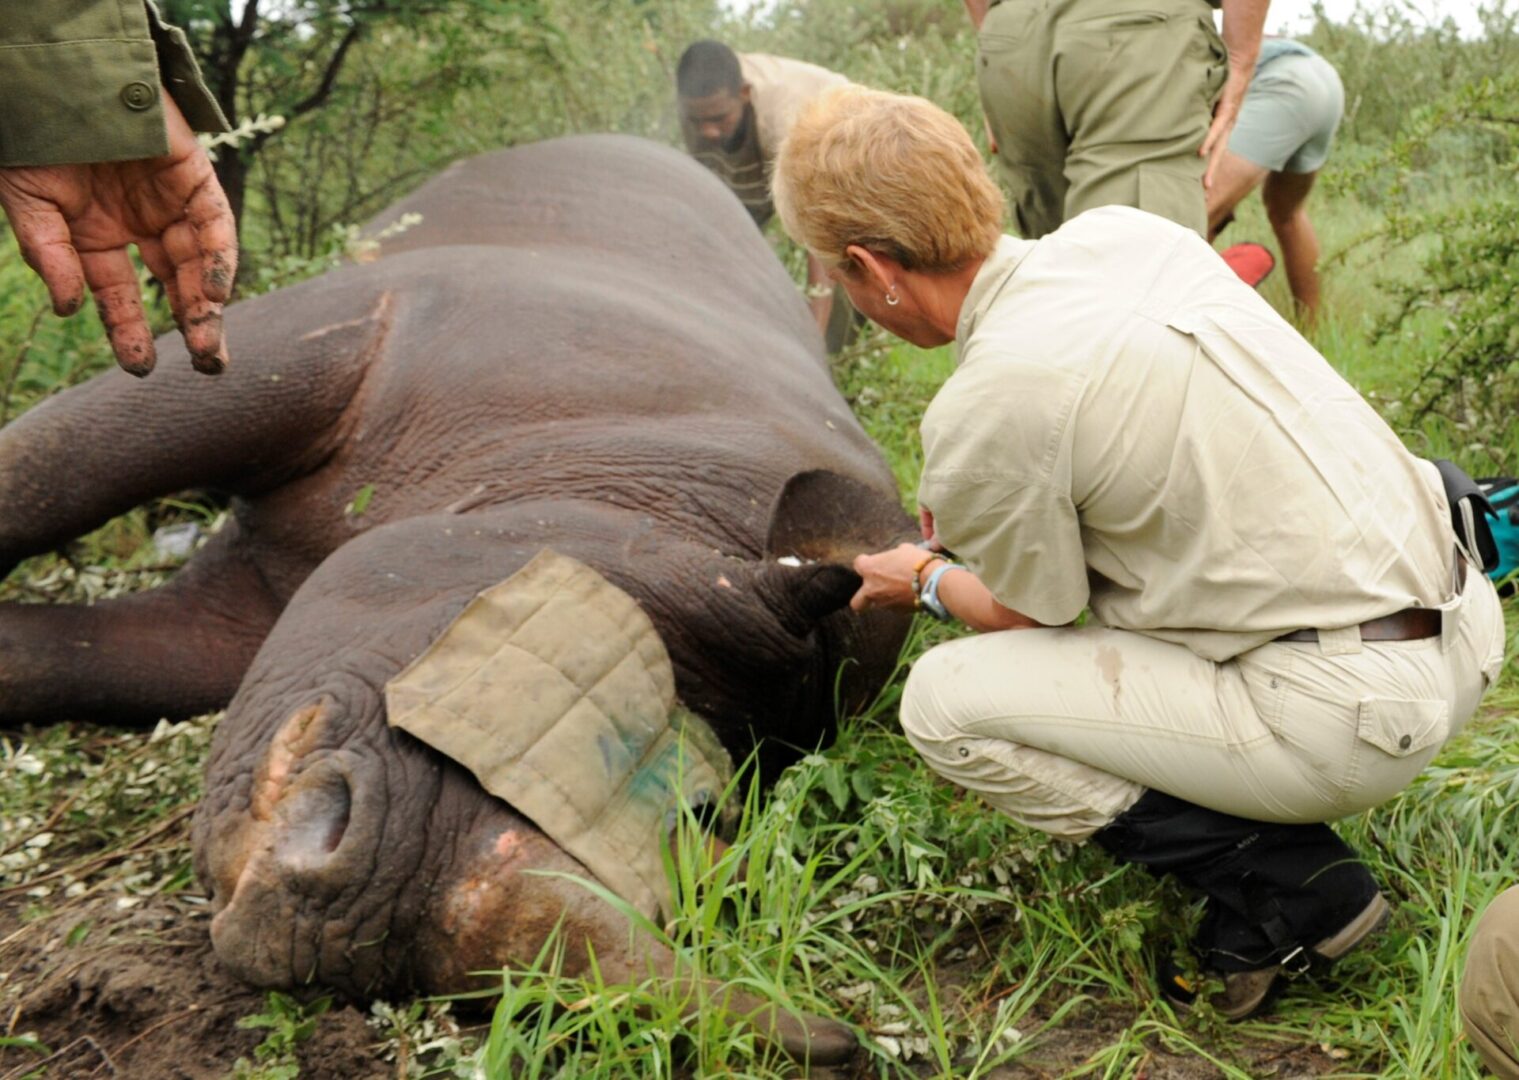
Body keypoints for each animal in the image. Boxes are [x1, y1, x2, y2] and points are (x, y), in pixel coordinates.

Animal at [0, 137, 905, 1063]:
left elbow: (74, 661)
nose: (373, 914)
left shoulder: (260, 616)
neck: (637, 491)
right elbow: (50, 465)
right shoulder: (371, 324)